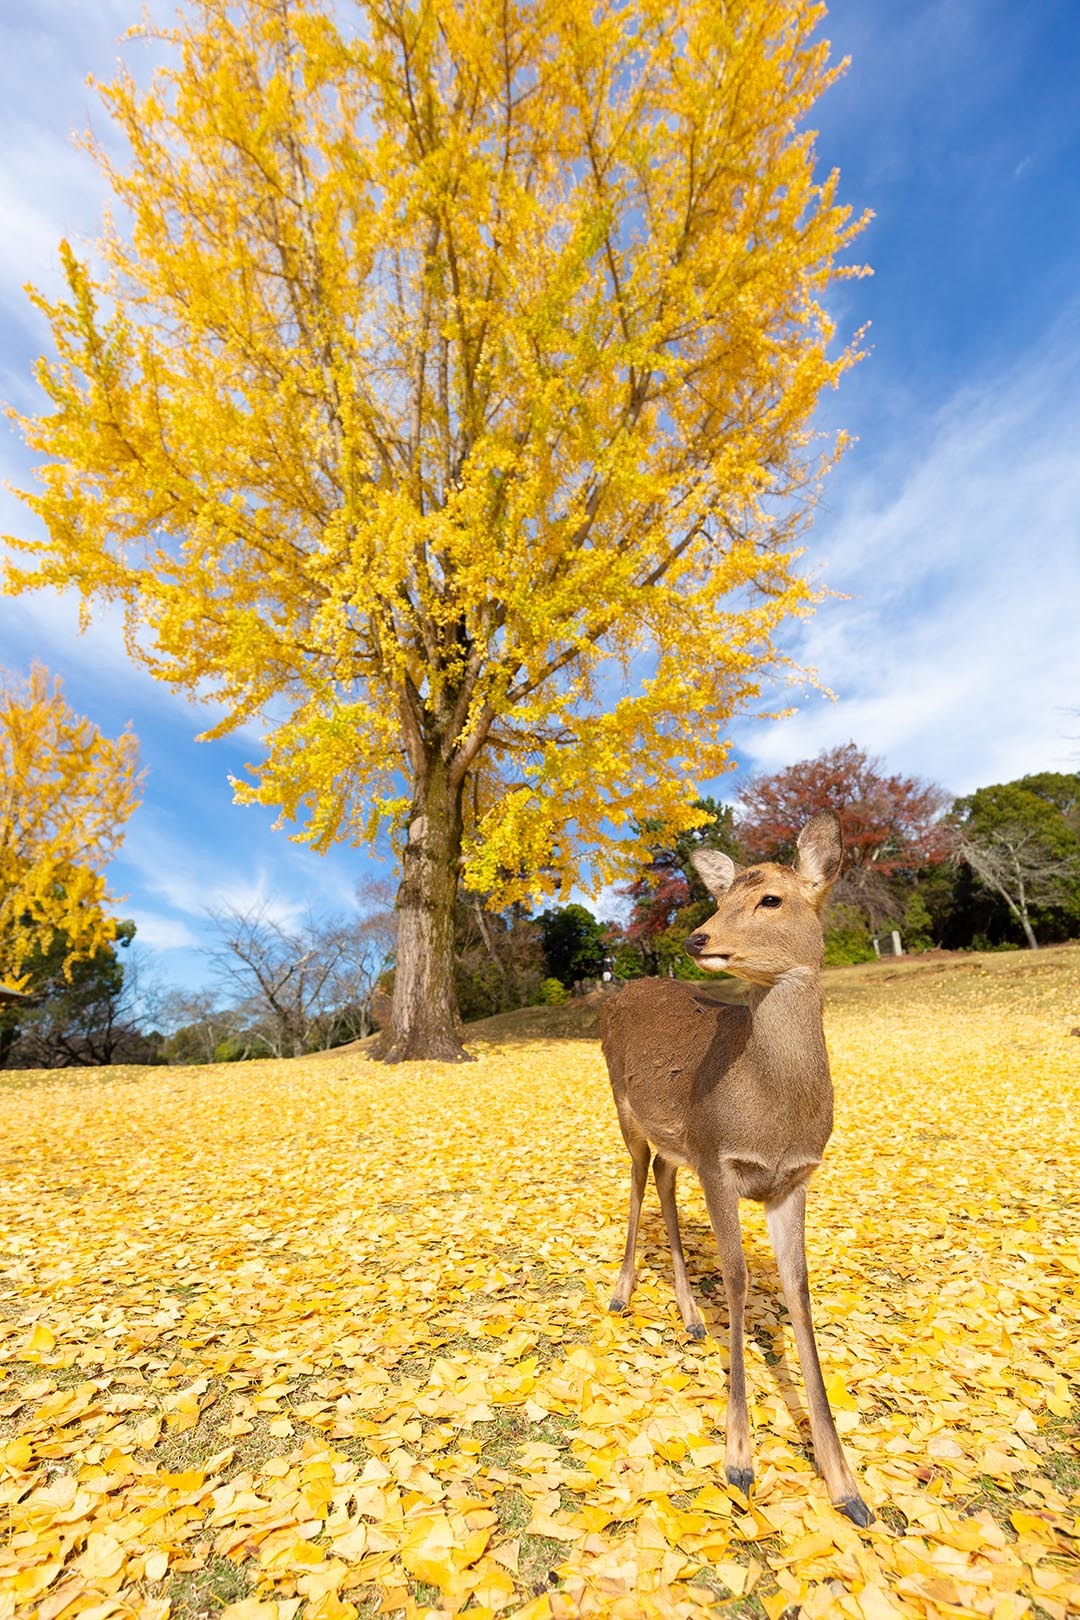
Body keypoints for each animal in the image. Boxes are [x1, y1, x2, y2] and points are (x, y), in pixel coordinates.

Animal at [600, 811, 872, 1526]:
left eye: (770, 899)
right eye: (721, 899)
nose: (699, 936)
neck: (773, 1117)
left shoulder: (793, 1180)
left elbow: (798, 1292)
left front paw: (847, 1487)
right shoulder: (718, 1157)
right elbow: (740, 1279)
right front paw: (740, 1461)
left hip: (677, 1141)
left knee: (663, 1179)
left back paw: (690, 1315)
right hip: (623, 1106)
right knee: (636, 1180)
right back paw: (622, 1292)